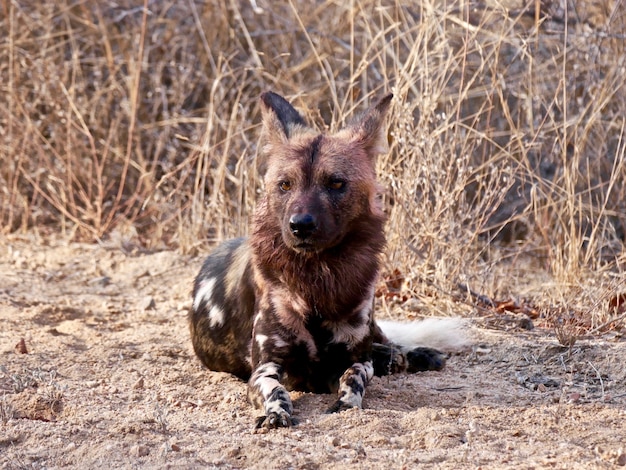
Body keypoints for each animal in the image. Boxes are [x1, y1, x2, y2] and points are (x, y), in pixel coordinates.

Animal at [188, 92, 460, 430]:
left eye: (336, 183)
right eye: (285, 184)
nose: (300, 225)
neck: (317, 278)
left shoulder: (354, 358)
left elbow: (354, 375)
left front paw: (347, 402)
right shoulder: (266, 367)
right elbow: (275, 389)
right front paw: (276, 413)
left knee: (388, 343)